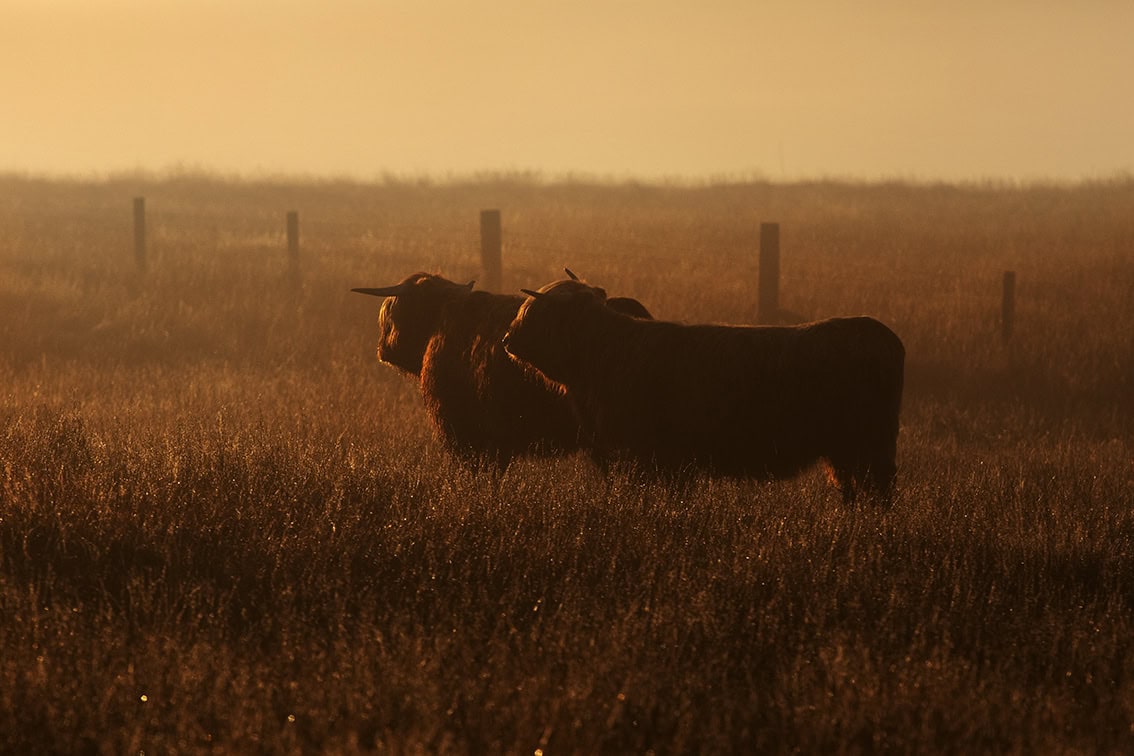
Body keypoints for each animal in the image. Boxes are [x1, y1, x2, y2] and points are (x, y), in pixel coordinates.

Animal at [503, 277, 902, 503]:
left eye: (533, 312)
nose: (506, 340)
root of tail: (882, 335)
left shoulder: (648, 456)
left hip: (868, 445)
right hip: (847, 450)